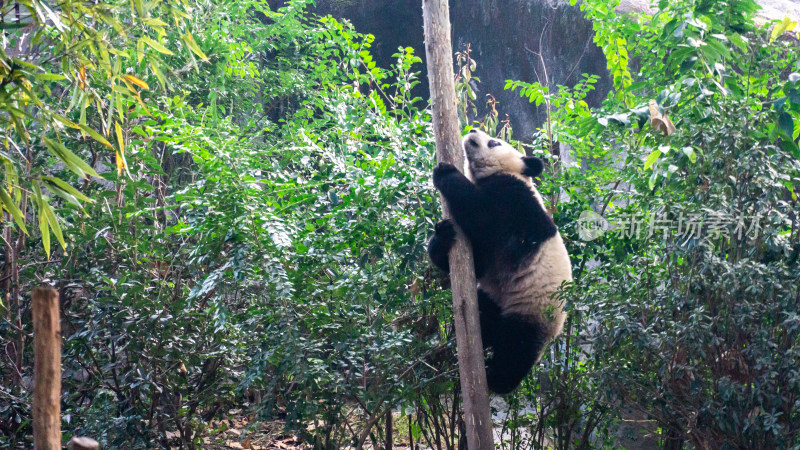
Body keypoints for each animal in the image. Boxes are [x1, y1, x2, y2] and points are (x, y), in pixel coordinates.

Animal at [428, 127, 572, 394]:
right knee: (487, 316)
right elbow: (478, 264)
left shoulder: (514, 201)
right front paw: (443, 235)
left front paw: (445, 172)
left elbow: (479, 214)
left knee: (515, 349)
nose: (473, 130)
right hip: (494, 298)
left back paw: (496, 379)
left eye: (495, 142)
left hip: (532, 310)